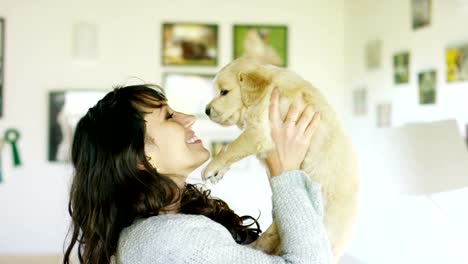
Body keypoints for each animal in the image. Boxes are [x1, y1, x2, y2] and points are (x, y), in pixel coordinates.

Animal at [203, 57, 360, 262]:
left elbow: (230, 148)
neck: (268, 90)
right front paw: (217, 172)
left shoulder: (258, 132)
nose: (206, 110)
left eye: (224, 92)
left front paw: (210, 167)